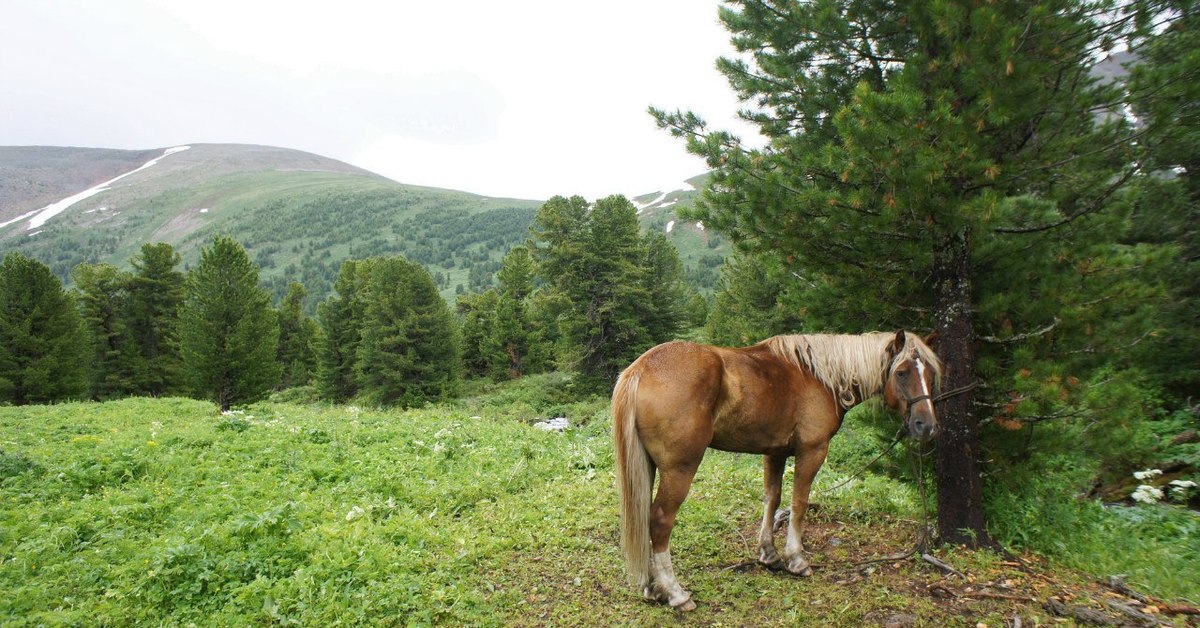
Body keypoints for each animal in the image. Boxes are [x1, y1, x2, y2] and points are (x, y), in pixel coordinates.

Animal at [614, 331, 940, 612]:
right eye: (902, 372)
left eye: (930, 374)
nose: (926, 426)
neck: (818, 376)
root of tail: (642, 368)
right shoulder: (812, 451)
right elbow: (799, 503)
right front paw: (796, 559)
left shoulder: (775, 452)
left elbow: (772, 499)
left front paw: (769, 554)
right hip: (680, 469)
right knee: (660, 521)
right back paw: (675, 593)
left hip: (649, 467)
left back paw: (653, 587)